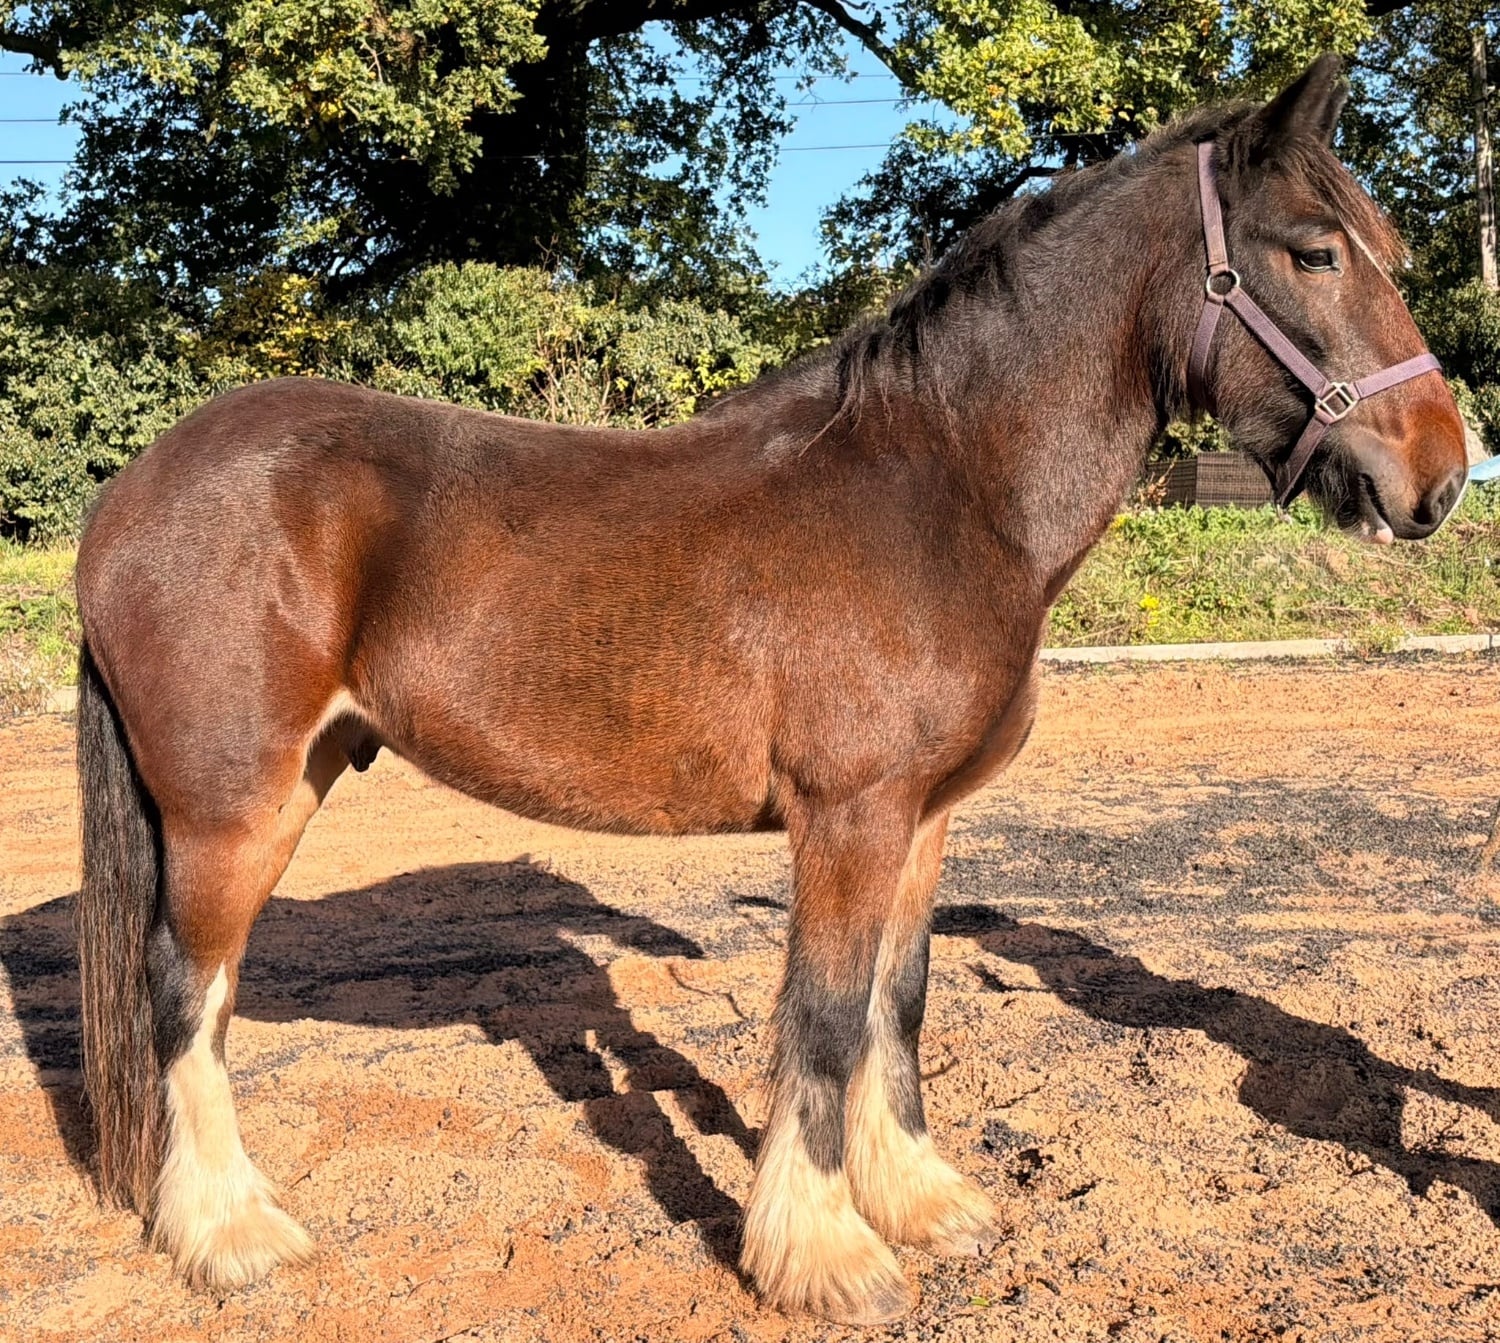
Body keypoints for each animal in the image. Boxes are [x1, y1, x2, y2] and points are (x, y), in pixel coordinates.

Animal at [70, 55, 1467, 1325]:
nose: (1443, 478)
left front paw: (919, 1200)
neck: (945, 485)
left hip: (289, 783)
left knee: (207, 992)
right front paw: (826, 1254)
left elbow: (899, 1003)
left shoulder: (922, 816)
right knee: (182, 992)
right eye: (1316, 253)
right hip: (231, 807)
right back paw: (231, 1232)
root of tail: (132, 492)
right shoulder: (847, 817)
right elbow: (829, 1016)